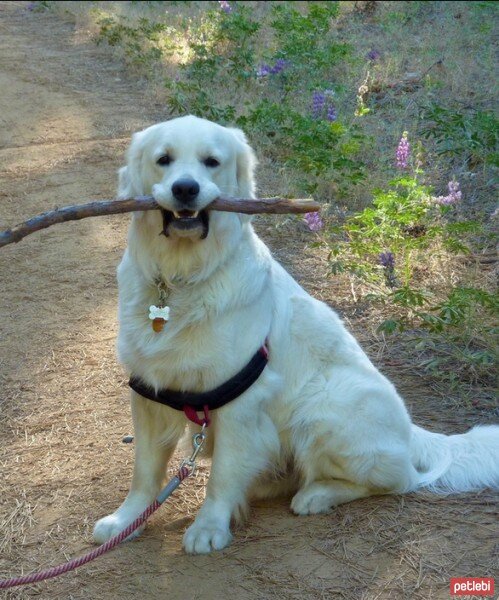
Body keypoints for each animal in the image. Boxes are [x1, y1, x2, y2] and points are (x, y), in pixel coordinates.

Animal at [93, 115, 496, 556]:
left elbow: (222, 475)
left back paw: (317, 495)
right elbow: (145, 471)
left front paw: (209, 527)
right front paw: (126, 521)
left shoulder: (241, 400)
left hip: (324, 404)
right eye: (163, 160)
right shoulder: (149, 391)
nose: (186, 188)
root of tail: (411, 432)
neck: (178, 279)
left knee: (398, 479)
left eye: (212, 162)